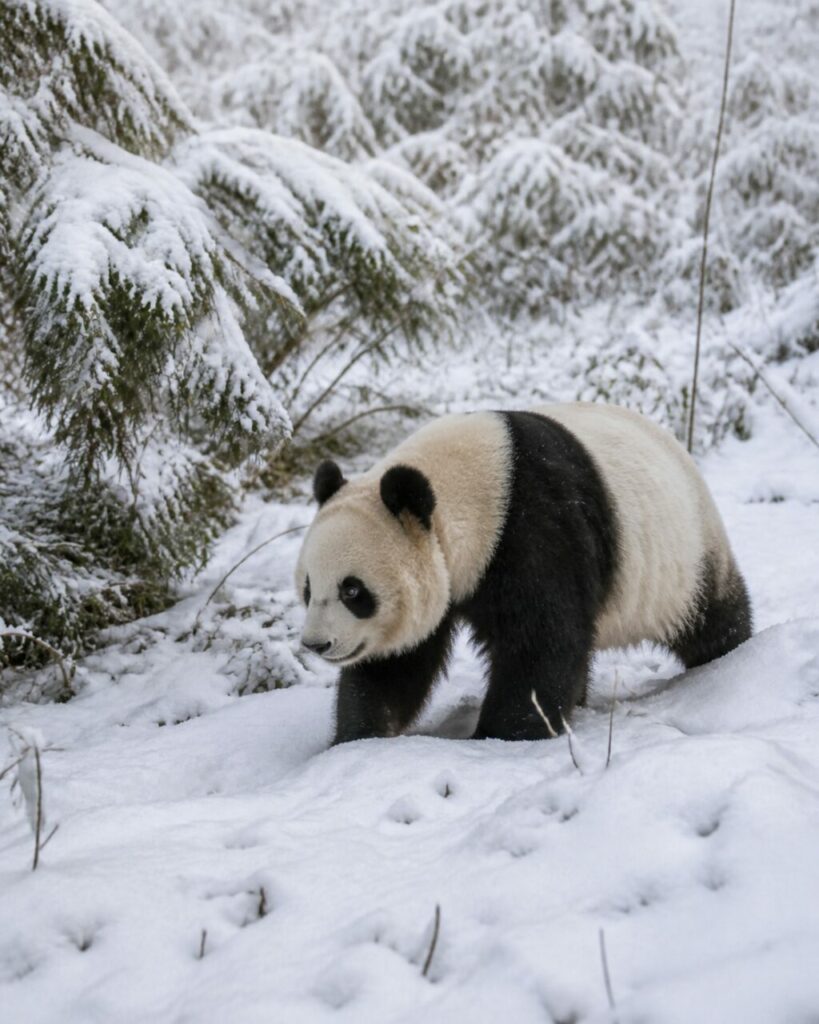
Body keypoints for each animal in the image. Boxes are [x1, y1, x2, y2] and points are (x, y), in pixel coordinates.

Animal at [295, 403, 752, 744]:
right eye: (307, 589)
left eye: (353, 591)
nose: (317, 644)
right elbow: (399, 660)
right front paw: (359, 736)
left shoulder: (533, 529)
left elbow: (542, 638)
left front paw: (506, 733)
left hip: (684, 553)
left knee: (714, 617)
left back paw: (731, 660)